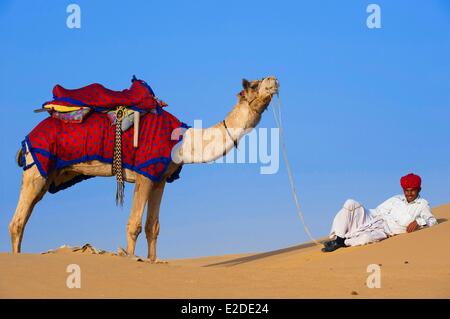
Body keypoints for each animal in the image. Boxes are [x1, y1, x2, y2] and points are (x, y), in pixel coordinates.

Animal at [9, 76, 278, 264]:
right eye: (255, 84)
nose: (274, 79)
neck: (182, 141)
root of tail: (27, 138)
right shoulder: (144, 173)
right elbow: (134, 224)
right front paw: (131, 259)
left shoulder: (160, 179)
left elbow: (153, 227)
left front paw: (152, 261)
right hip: (37, 168)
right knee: (18, 221)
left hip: (47, 175)